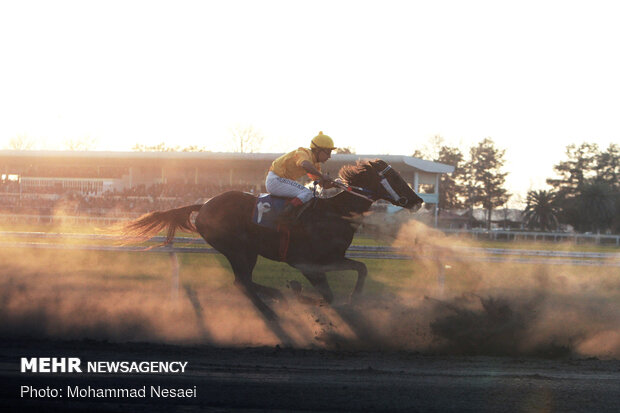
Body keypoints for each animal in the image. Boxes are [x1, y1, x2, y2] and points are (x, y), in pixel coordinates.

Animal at [119, 158, 424, 306]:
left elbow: (361, 268)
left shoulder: (330, 259)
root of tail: (204, 204)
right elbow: (327, 294)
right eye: (395, 177)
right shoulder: (306, 263)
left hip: (245, 251)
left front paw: (352, 296)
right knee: (242, 282)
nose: (418, 200)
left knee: (242, 282)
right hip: (237, 249)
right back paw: (276, 298)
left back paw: (276, 295)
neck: (333, 212)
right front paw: (302, 292)